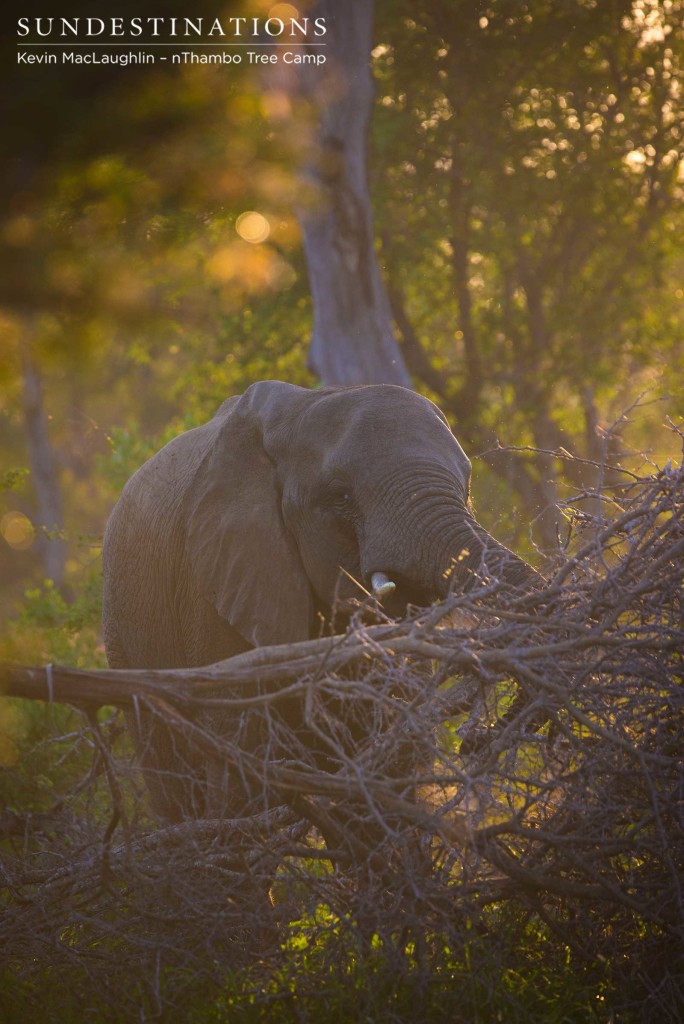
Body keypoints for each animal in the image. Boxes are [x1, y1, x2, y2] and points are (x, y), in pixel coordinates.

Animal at [102, 382, 540, 823]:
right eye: (340, 497)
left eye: (466, 491)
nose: (473, 741)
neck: (300, 409)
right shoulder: (209, 585)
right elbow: (241, 767)